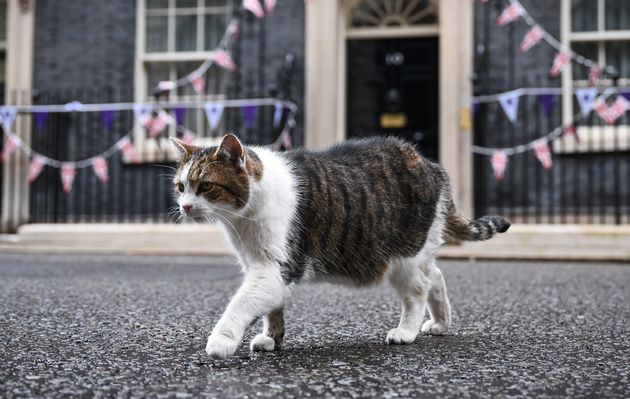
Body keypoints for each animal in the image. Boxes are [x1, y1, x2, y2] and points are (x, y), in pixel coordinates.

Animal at [170, 134, 512, 360]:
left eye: (205, 186)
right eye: (180, 187)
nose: (184, 207)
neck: (242, 221)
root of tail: (430, 164)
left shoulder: (276, 267)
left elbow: (241, 304)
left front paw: (221, 340)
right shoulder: (262, 266)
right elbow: (271, 309)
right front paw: (271, 338)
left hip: (405, 257)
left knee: (417, 291)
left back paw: (407, 331)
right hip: (417, 252)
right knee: (435, 276)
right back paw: (441, 322)